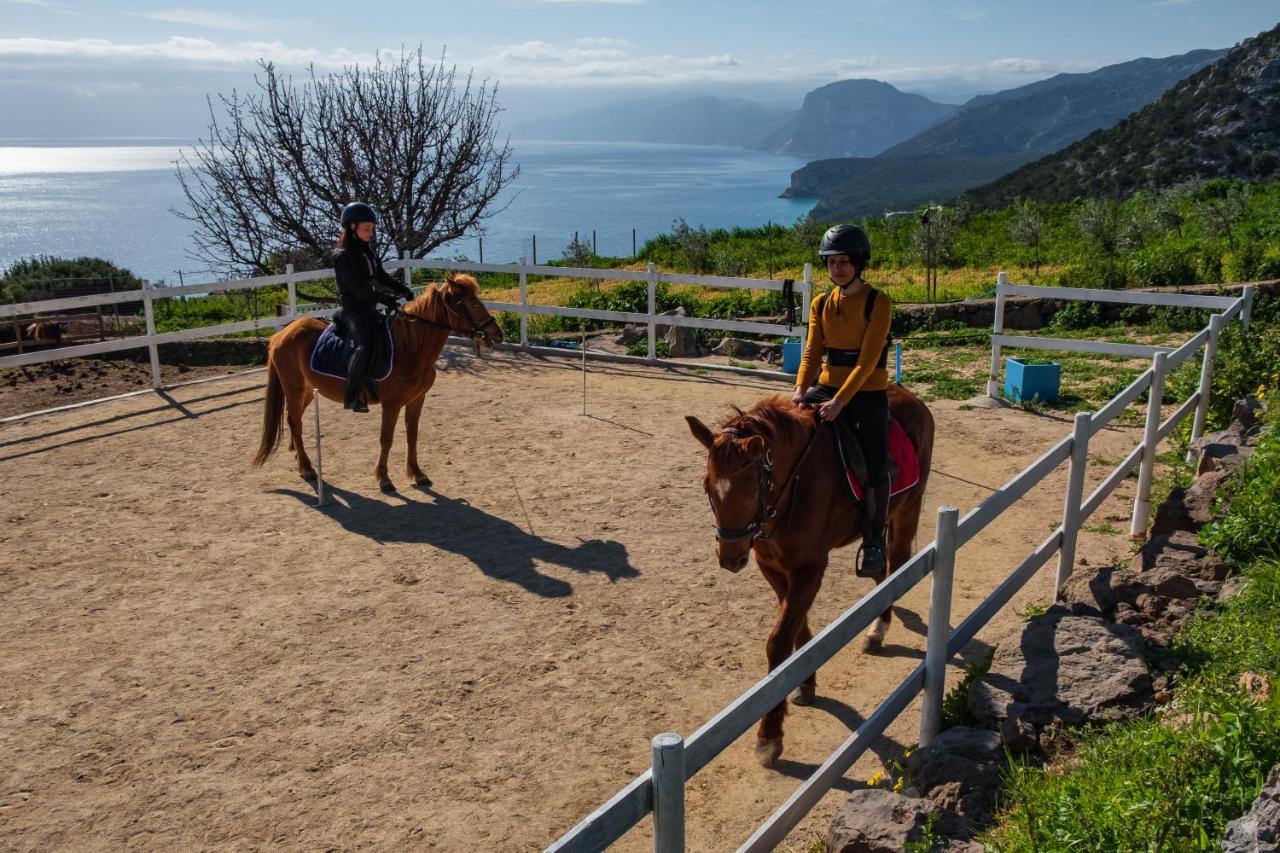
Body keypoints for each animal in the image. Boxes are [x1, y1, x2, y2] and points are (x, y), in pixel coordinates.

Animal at [252, 272, 501, 491]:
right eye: (471, 304)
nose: (497, 334)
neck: (408, 348)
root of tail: (281, 335)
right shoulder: (391, 405)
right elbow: (386, 439)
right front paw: (384, 479)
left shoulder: (416, 400)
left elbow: (412, 435)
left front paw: (416, 473)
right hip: (294, 390)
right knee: (294, 421)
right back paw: (306, 468)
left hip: (307, 391)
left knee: (295, 421)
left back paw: (298, 456)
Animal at [686, 381, 936, 768]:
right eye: (707, 486)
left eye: (751, 491)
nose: (729, 557)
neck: (793, 486)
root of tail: (912, 397)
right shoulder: (773, 566)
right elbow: (794, 626)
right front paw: (805, 682)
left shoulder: (810, 568)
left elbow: (778, 641)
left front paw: (770, 736)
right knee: (881, 571)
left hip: (907, 509)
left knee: (896, 568)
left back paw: (878, 630)